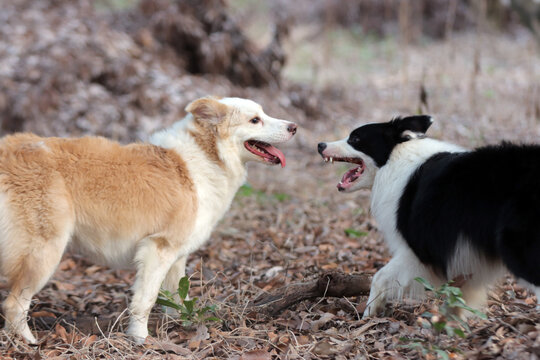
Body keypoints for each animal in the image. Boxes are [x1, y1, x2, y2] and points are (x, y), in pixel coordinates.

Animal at [0, 97, 296, 344]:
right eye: (255, 120)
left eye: (263, 113)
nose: (294, 127)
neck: (206, 155)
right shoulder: (158, 249)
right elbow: (145, 300)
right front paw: (140, 338)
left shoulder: (176, 256)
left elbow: (177, 295)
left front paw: (181, 325)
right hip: (44, 251)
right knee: (14, 304)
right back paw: (28, 342)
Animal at [318, 115, 536, 318]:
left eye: (355, 138)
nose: (320, 145)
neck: (394, 158)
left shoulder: (419, 251)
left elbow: (379, 277)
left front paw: (368, 314)